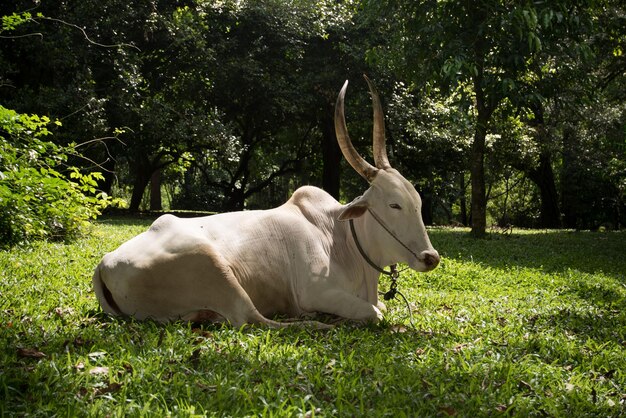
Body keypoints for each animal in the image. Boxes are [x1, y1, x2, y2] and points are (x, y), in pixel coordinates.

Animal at [92, 76, 438, 328]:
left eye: (418, 203)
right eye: (394, 205)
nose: (430, 257)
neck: (340, 238)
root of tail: (105, 263)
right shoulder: (316, 291)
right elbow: (374, 313)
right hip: (217, 272)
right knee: (254, 320)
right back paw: (316, 323)